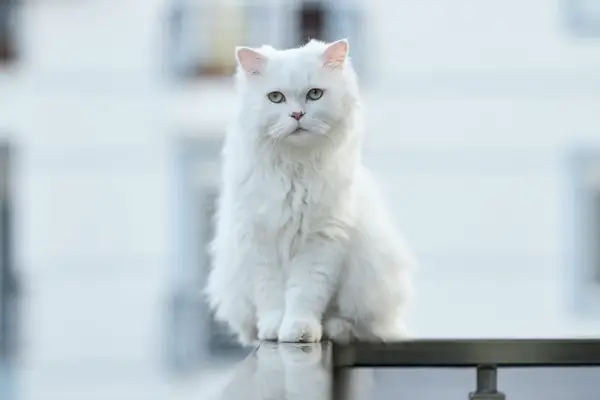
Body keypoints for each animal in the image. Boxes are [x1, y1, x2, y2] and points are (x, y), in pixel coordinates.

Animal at [204, 39, 414, 344]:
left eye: (314, 94)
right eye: (276, 97)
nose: (297, 114)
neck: (295, 167)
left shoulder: (321, 239)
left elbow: (304, 294)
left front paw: (299, 331)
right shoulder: (259, 239)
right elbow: (271, 296)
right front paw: (273, 329)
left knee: (354, 323)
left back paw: (333, 329)